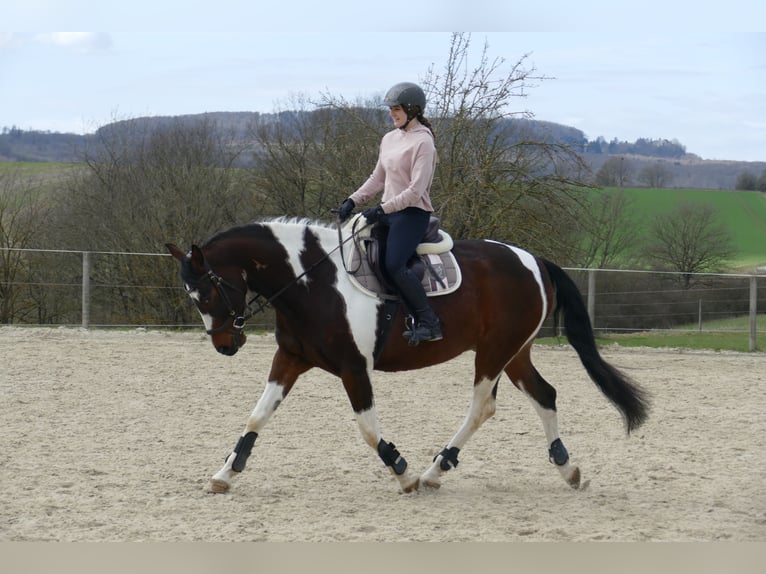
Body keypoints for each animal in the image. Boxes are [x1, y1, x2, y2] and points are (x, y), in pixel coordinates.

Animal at [166, 216, 648, 496]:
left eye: (207, 291)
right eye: (191, 295)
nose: (225, 344)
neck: (312, 283)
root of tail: (533, 260)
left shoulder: (354, 368)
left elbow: (366, 428)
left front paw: (403, 471)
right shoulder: (290, 360)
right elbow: (256, 417)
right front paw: (226, 473)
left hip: (494, 352)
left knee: (482, 406)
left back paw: (435, 470)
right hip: (515, 353)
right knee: (545, 395)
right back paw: (568, 470)